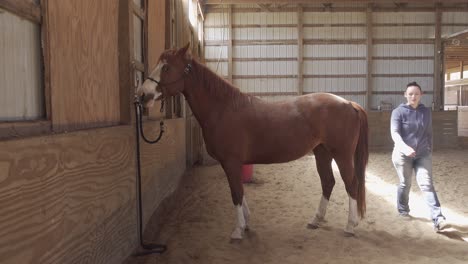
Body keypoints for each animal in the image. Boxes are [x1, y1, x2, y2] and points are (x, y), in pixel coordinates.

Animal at [137, 44, 368, 239]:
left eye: (166, 67)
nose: (141, 95)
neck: (223, 109)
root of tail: (349, 103)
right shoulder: (233, 164)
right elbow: (239, 191)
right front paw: (246, 223)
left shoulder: (231, 162)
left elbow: (236, 193)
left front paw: (238, 230)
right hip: (322, 152)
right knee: (328, 182)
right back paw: (316, 220)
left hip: (341, 154)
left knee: (351, 183)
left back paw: (350, 226)